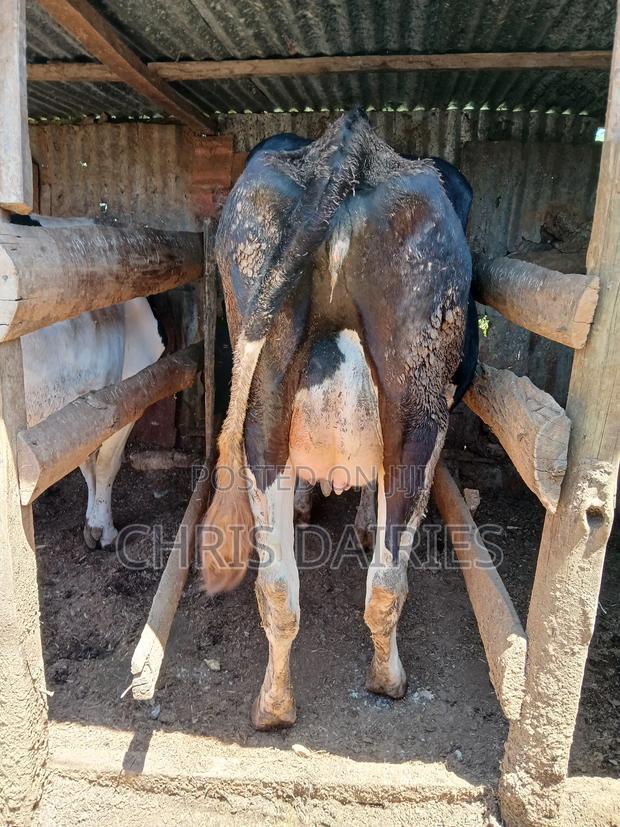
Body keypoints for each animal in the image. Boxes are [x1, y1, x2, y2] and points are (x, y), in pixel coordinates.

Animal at [11, 214, 165, 549]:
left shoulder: (82, 405)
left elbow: (89, 463)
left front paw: (92, 522)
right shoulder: (126, 394)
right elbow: (106, 462)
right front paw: (101, 527)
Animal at [199, 109, 476, 730]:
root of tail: (349, 146)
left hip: (264, 391)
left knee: (278, 584)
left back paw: (273, 706)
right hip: (421, 403)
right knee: (387, 577)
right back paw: (387, 680)